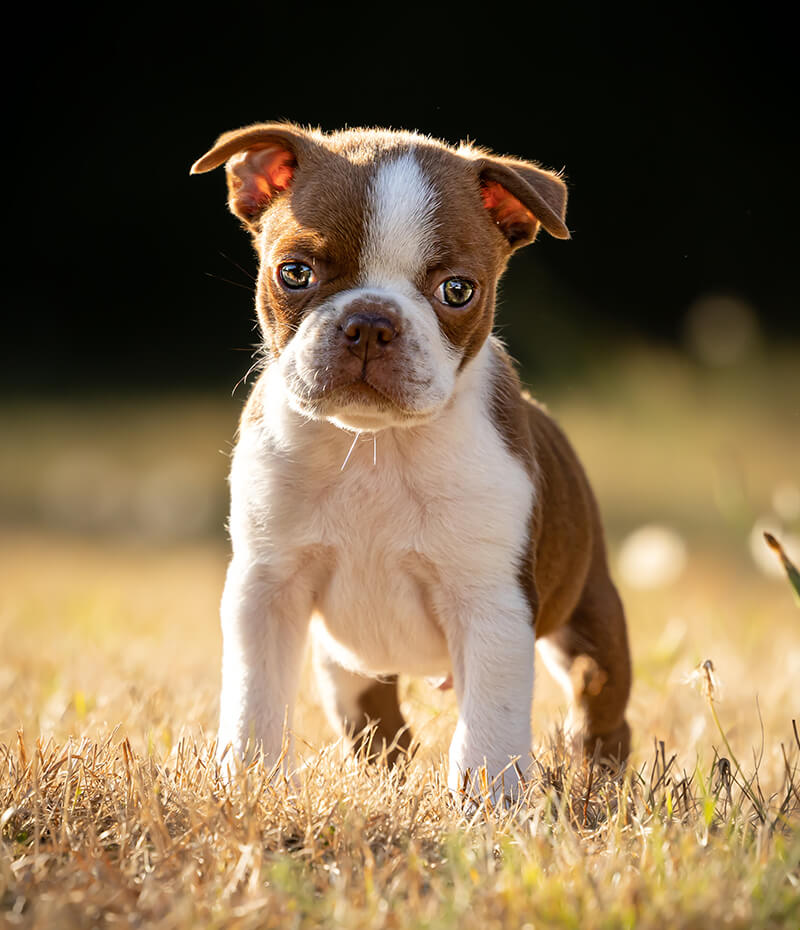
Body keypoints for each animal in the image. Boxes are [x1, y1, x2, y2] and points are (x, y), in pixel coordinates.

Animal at [192, 119, 632, 792]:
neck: (376, 444)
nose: (371, 322)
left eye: (457, 290)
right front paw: (249, 782)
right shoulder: (266, 587)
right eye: (294, 273)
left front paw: (489, 801)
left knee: (600, 703)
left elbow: (490, 727)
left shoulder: (491, 603)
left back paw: (598, 778)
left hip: (589, 621)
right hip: (346, 661)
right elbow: (254, 700)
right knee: (378, 726)